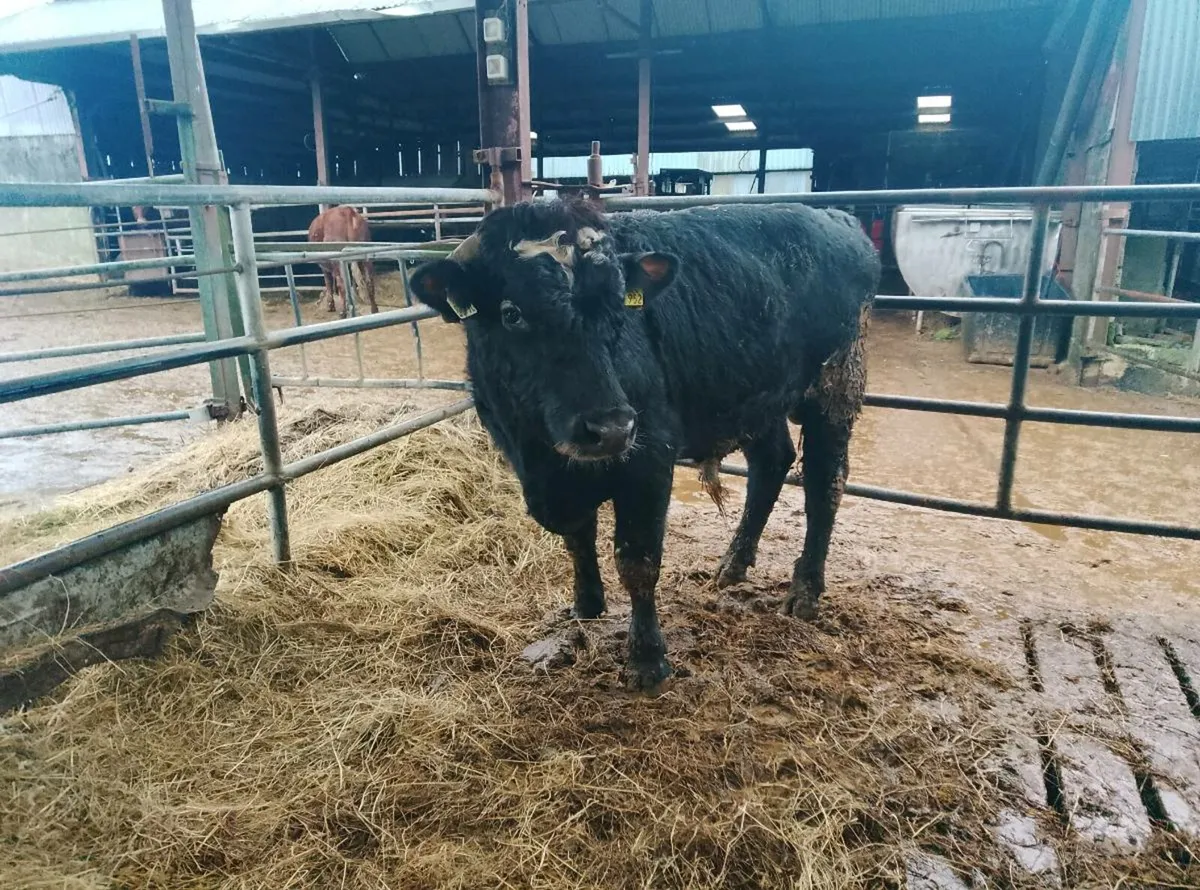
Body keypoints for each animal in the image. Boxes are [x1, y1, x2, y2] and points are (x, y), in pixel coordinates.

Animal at [410, 198, 879, 691]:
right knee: (771, 465)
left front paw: (647, 660)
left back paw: (805, 592)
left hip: (835, 388)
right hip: (759, 398)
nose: (612, 428)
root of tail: (837, 218)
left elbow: (638, 561)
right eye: (512, 313)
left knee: (825, 484)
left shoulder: (650, 460)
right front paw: (586, 605)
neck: (542, 463)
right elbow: (579, 539)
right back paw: (732, 565)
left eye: (619, 309)